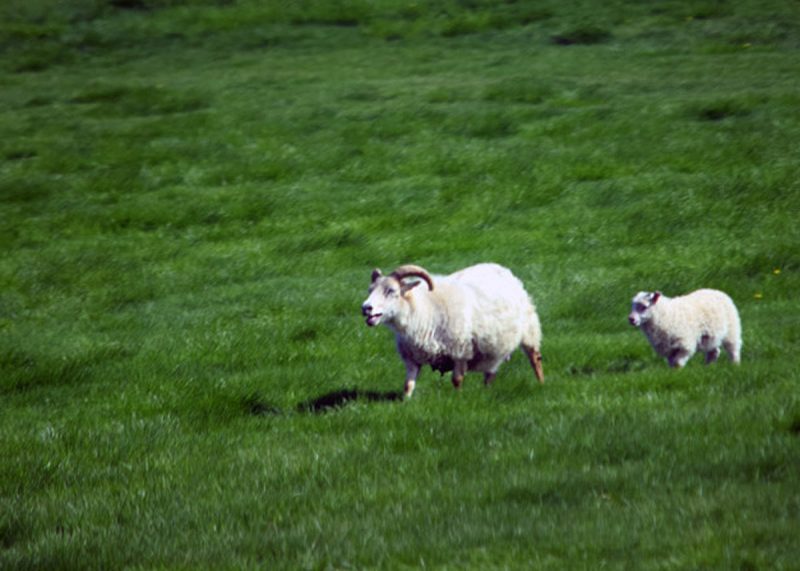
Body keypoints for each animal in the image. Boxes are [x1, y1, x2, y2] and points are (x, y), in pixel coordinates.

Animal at [361, 263, 544, 398]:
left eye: (391, 291)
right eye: (370, 290)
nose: (366, 308)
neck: (423, 309)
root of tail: (503, 270)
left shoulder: (461, 351)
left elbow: (457, 380)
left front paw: (457, 398)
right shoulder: (412, 358)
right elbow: (408, 385)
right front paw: (406, 402)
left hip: (529, 328)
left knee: (535, 358)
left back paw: (541, 384)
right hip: (494, 346)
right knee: (491, 371)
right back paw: (487, 390)